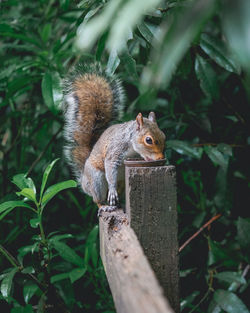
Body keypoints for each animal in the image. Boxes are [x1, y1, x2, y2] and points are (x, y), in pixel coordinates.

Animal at [63, 62, 166, 214]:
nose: (160, 157)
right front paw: (112, 190)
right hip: (96, 180)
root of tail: (83, 182)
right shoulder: (115, 150)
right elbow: (110, 168)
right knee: (97, 199)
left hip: (122, 183)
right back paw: (104, 206)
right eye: (148, 140)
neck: (131, 145)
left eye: (164, 136)